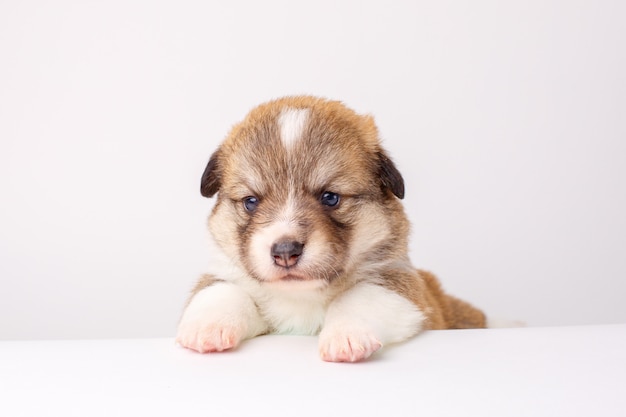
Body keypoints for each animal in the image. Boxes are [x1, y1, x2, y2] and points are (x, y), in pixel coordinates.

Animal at [173, 94, 486, 360]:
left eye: (330, 197)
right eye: (251, 201)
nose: (285, 252)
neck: (301, 296)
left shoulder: (398, 282)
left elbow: (359, 298)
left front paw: (346, 337)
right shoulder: (224, 273)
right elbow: (221, 293)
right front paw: (207, 328)